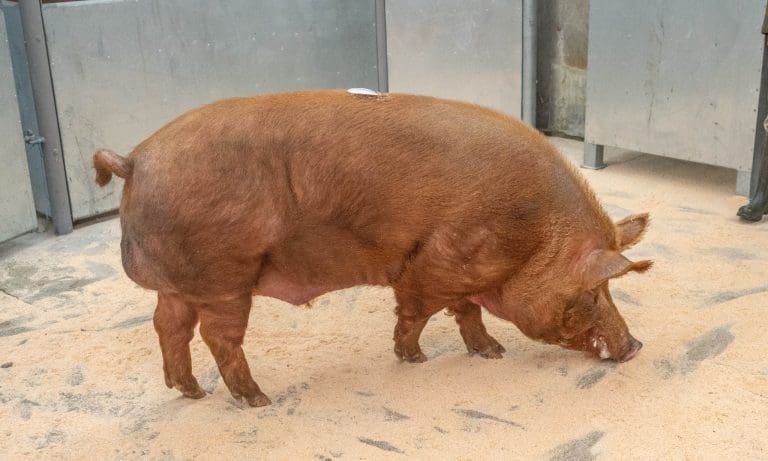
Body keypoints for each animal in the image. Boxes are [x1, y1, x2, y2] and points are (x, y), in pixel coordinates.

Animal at [93, 90, 651, 407]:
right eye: (594, 291)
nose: (635, 346)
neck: (531, 238)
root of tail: (134, 159)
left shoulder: (461, 272)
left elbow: (466, 313)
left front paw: (492, 353)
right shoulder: (434, 265)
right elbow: (418, 313)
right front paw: (415, 359)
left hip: (182, 283)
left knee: (168, 325)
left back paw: (189, 392)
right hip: (223, 278)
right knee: (217, 337)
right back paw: (258, 400)